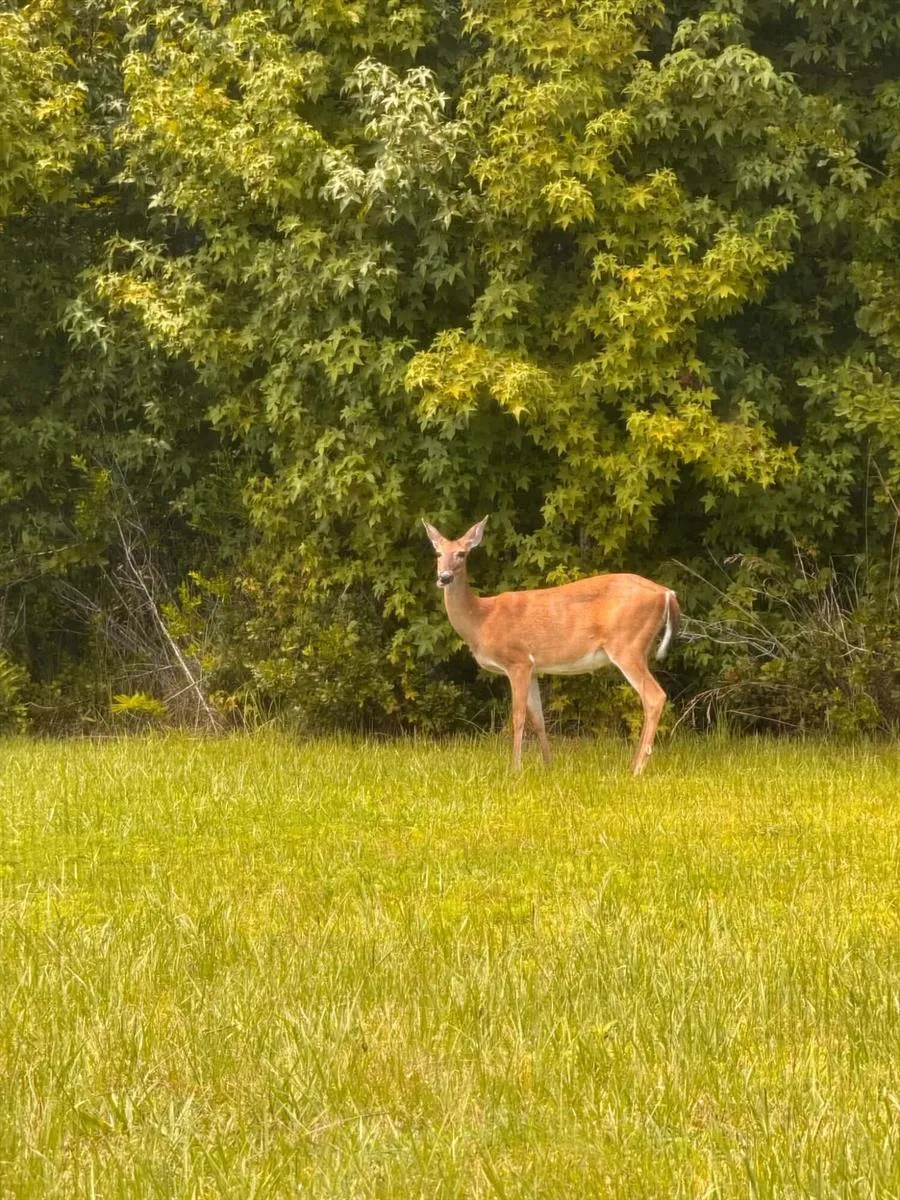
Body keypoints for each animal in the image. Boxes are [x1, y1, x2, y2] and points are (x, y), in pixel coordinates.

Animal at [422, 516, 680, 774]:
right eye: (438, 553)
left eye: (462, 553)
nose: (444, 577)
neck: (482, 620)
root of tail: (666, 593)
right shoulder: (534, 668)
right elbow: (538, 719)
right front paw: (549, 765)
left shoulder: (518, 660)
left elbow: (518, 717)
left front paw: (515, 768)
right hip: (641, 647)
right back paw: (633, 764)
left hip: (626, 645)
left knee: (655, 696)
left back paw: (637, 769)